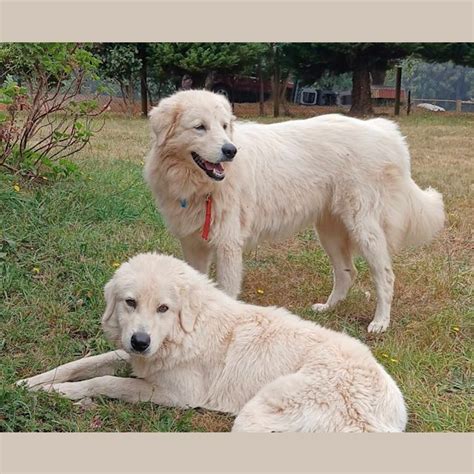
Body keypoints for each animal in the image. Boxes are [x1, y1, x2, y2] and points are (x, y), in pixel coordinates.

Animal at [18, 254, 408, 432]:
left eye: (163, 308)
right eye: (130, 302)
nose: (141, 341)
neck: (187, 331)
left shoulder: (176, 395)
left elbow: (105, 381)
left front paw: (62, 394)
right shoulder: (133, 356)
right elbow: (82, 364)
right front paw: (32, 382)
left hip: (254, 415)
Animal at [143, 90, 444, 334]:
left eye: (224, 126)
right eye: (200, 127)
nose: (230, 150)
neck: (197, 184)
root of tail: (384, 130)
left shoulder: (228, 244)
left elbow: (226, 292)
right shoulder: (193, 244)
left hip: (364, 228)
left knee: (385, 276)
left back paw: (380, 322)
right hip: (329, 232)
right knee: (347, 273)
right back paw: (328, 308)